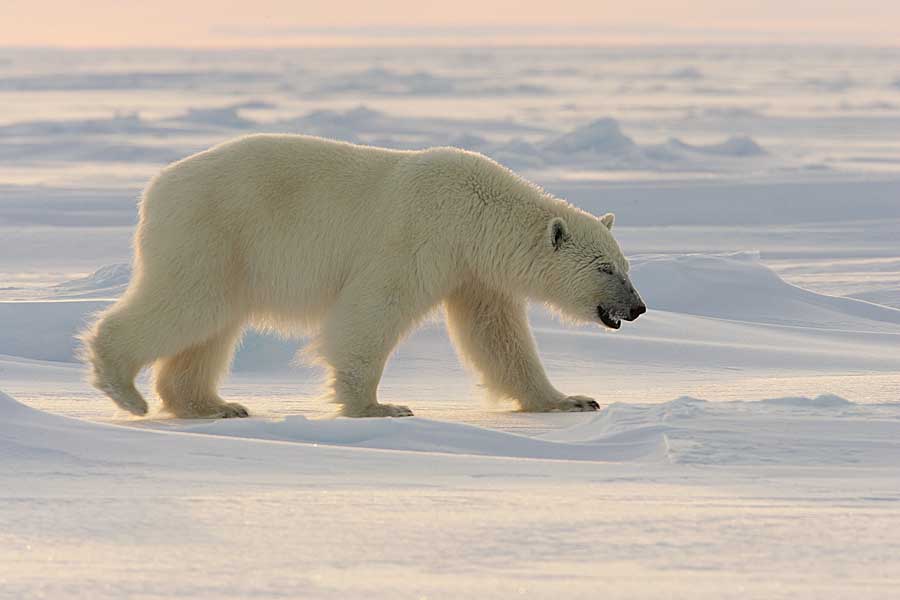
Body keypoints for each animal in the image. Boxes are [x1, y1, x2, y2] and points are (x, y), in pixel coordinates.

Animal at [81, 135, 648, 418]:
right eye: (605, 268)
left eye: (626, 266)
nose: (638, 307)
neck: (475, 212)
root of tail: (156, 188)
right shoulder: (417, 237)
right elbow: (373, 312)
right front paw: (377, 406)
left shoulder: (471, 272)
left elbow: (497, 336)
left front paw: (570, 400)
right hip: (213, 232)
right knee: (187, 305)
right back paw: (124, 387)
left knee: (211, 328)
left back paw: (214, 406)